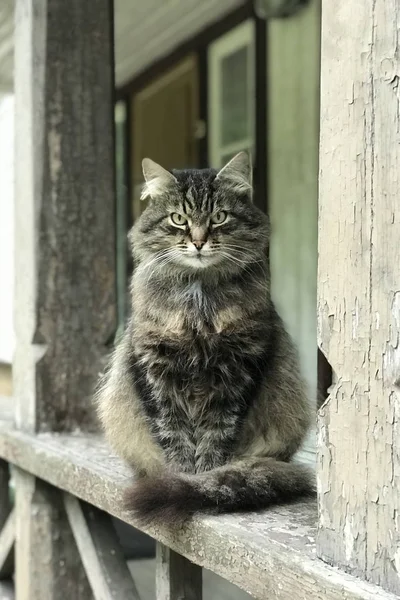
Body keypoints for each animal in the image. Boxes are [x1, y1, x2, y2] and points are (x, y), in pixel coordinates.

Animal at [95, 152, 314, 524]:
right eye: (179, 219)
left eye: (219, 217)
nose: (198, 241)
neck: (198, 300)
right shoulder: (154, 363)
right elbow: (173, 433)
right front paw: (182, 474)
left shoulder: (239, 364)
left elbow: (217, 434)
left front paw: (204, 478)